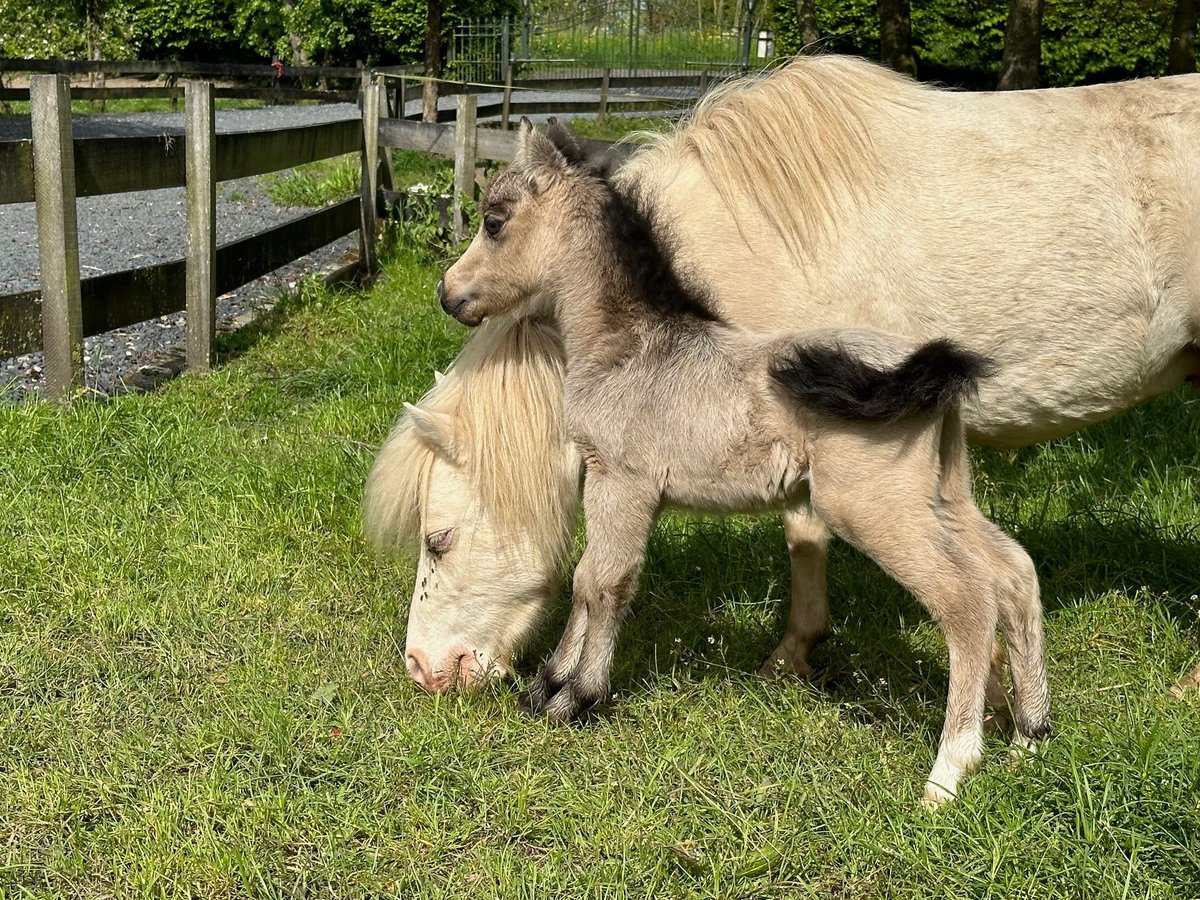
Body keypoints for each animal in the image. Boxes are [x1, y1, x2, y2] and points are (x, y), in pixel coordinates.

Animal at [441, 120, 1051, 801]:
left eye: (494, 221)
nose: (447, 294)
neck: (629, 348)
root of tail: (928, 371)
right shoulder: (608, 480)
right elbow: (587, 578)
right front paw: (549, 686)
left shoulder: (623, 480)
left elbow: (604, 580)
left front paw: (574, 697)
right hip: (944, 495)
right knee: (1014, 573)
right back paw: (1028, 738)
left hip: (874, 506)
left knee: (969, 602)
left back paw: (949, 771)